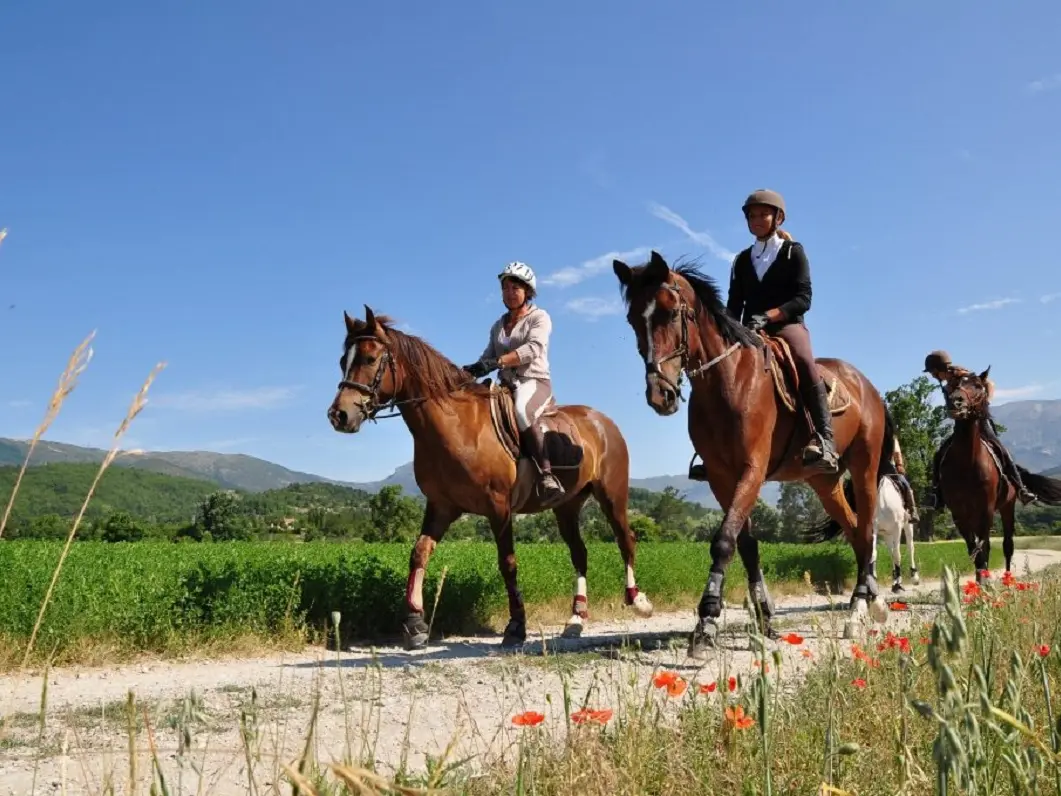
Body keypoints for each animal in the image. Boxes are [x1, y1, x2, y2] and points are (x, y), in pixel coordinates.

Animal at [326, 306, 654, 650]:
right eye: (343, 360)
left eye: (369, 359)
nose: (339, 415)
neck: (456, 426)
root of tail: (602, 420)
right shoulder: (442, 506)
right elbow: (419, 553)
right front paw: (414, 624)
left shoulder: (499, 507)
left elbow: (507, 563)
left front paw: (516, 626)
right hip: (567, 505)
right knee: (580, 552)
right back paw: (576, 618)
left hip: (612, 496)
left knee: (626, 540)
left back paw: (638, 600)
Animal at [611, 251, 895, 655]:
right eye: (634, 319)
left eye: (671, 313)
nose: (660, 394)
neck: (727, 380)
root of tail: (867, 386)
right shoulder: (720, 476)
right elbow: (744, 544)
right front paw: (763, 618)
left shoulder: (752, 469)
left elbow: (723, 541)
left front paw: (706, 621)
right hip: (824, 482)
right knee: (856, 532)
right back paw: (870, 601)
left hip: (865, 469)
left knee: (868, 530)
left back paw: (859, 611)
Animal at [937, 366, 1061, 583]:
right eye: (953, 385)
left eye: (978, 386)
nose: (956, 402)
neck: (966, 464)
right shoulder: (959, 513)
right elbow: (973, 548)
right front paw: (979, 581)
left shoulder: (986, 509)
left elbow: (985, 546)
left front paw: (985, 582)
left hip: (1007, 507)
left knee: (1007, 545)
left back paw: (1008, 579)